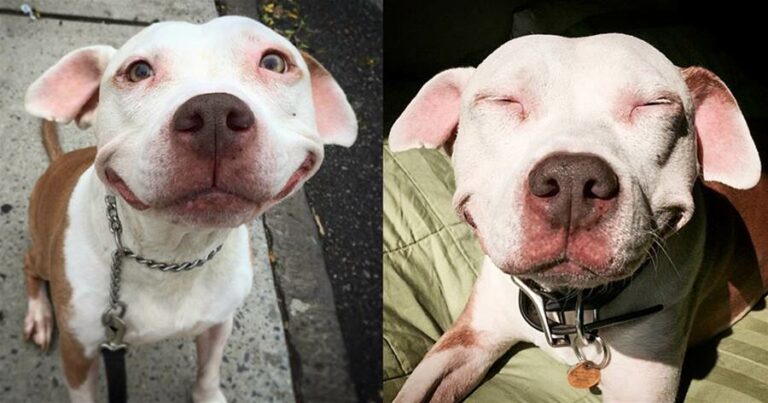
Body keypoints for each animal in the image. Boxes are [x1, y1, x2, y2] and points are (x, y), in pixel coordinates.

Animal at [21, 16, 356, 403]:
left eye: (274, 62)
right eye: (138, 71)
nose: (214, 114)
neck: (174, 254)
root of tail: (59, 161)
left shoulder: (218, 323)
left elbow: (208, 370)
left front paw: (208, 395)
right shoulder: (78, 352)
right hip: (43, 254)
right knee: (29, 264)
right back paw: (39, 315)